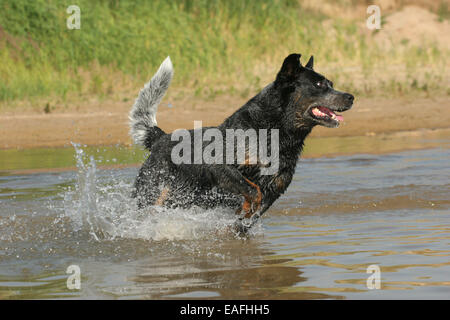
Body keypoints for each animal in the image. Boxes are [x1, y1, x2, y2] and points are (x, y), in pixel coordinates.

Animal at [128, 52, 354, 232]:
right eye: (319, 84)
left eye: (331, 84)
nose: (351, 96)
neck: (273, 132)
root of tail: (160, 137)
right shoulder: (221, 167)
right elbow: (252, 190)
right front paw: (245, 207)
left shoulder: (275, 189)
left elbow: (250, 213)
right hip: (151, 194)